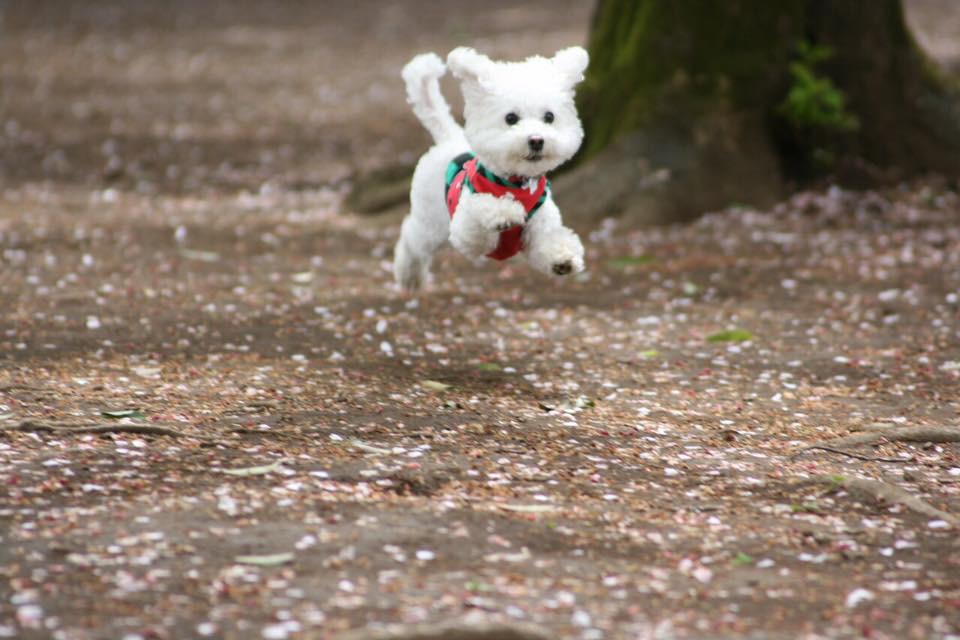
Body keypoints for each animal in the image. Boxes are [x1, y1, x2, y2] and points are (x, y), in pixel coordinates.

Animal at [392, 46, 588, 292]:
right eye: (511, 118)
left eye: (549, 117)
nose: (536, 140)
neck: (517, 183)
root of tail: (450, 137)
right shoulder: (466, 233)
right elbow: (482, 208)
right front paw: (506, 212)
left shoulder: (539, 231)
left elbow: (550, 242)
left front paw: (563, 258)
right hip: (431, 222)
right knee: (412, 237)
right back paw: (409, 276)